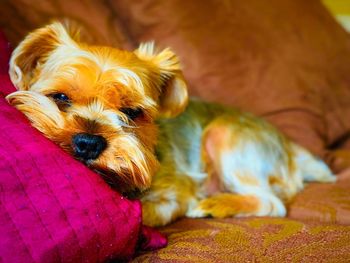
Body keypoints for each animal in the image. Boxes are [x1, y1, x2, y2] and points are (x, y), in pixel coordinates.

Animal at [6, 22, 336, 228]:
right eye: (60, 97)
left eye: (132, 112)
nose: (89, 142)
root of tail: (291, 149)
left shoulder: (175, 194)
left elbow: (150, 211)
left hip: (224, 137)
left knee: (272, 202)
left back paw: (217, 204)